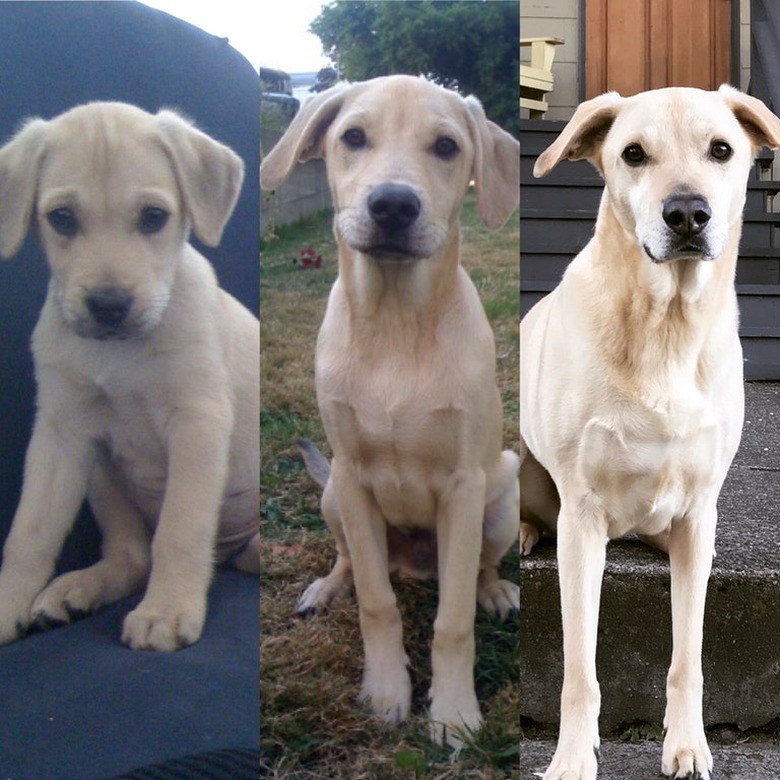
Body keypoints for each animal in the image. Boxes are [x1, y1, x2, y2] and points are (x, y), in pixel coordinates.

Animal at [0, 103, 258, 652]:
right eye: (62, 218)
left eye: (153, 217)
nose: (108, 305)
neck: (119, 355)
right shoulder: (60, 433)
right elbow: (29, 530)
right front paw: (8, 602)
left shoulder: (197, 421)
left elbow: (180, 529)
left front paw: (166, 610)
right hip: (100, 473)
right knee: (130, 554)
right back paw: (76, 589)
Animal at [258, 77, 520, 744]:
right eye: (353, 137)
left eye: (447, 146)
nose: (394, 207)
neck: (398, 321)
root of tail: (415, 565)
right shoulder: (352, 478)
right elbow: (377, 603)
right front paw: (385, 693)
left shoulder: (462, 486)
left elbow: (453, 621)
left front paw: (453, 712)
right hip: (332, 495)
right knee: (353, 559)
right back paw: (325, 589)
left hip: (502, 488)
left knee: (477, 569)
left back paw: (495, 591)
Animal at [520, 85, 780, 780]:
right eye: (633, 154)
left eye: (722, 149)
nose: (687, 213)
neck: (666, 326)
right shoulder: (582, 520)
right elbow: (579, 670)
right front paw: (572, 760)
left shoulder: (697, 515)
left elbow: (687, 657)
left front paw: (687, 744)